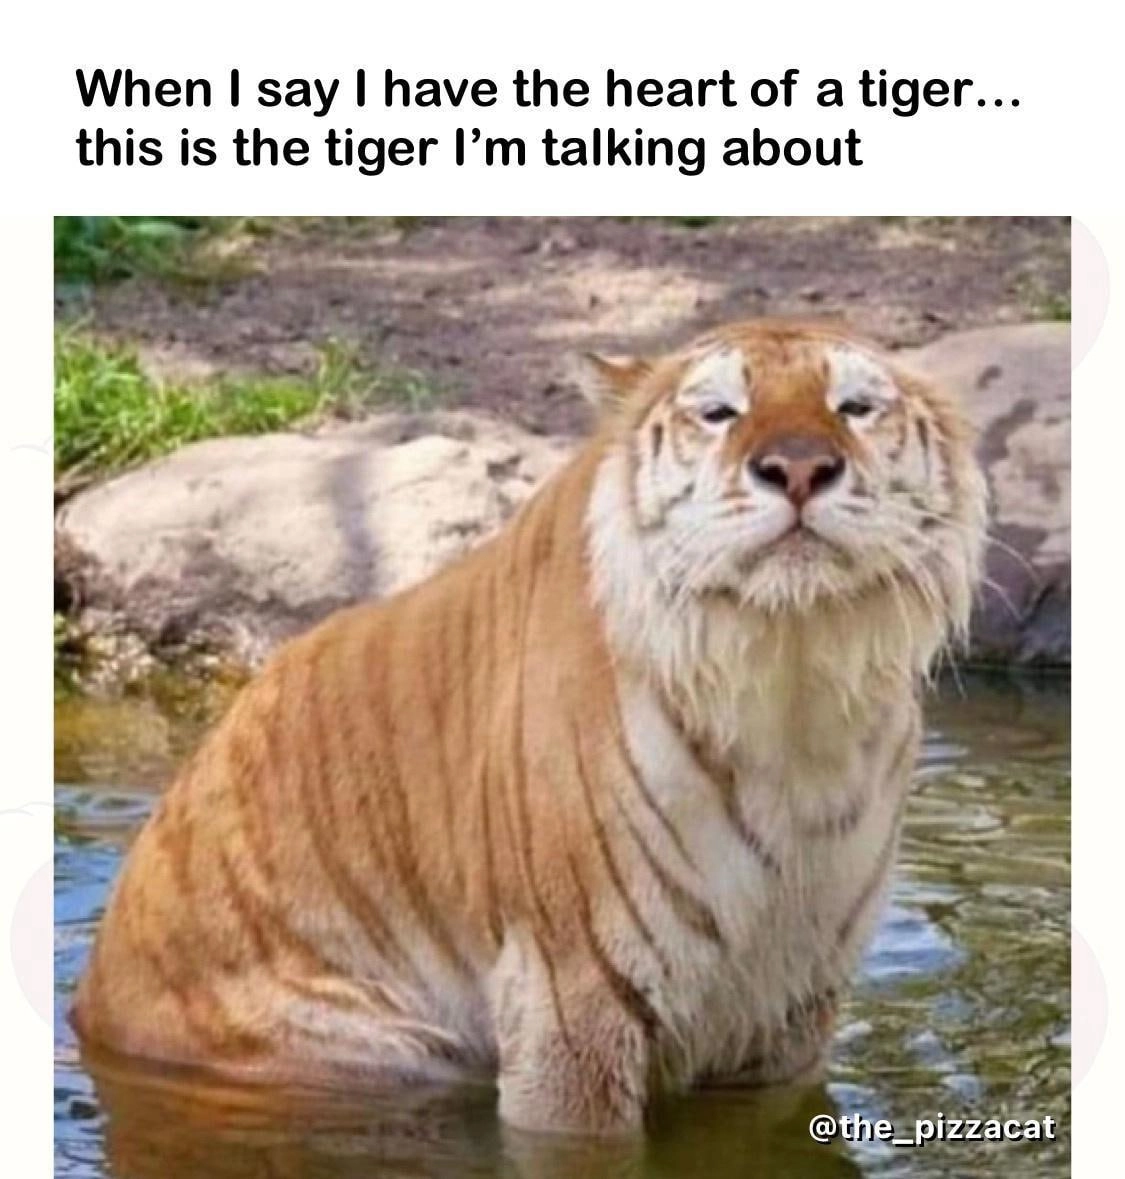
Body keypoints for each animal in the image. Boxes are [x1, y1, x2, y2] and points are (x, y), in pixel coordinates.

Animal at [72, 317, 987, 1135]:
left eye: (854, 407)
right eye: (719, 411)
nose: (797, 468)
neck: (789, 678)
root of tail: (91, 999)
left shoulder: (787, 1008)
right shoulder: (575, 990)